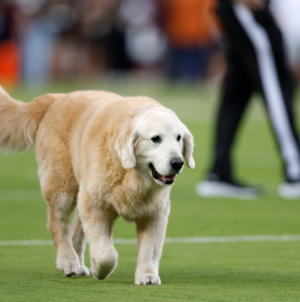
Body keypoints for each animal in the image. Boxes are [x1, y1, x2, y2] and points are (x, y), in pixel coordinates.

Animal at [0, 85, 195, 286]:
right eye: (156, 138)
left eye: (178, 138)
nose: (177, 163)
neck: (131, 173)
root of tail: (57, 97)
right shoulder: (95, 205)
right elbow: (105, 254)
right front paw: (99, 269)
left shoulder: (155, 213)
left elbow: (149, 250)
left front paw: (147, 275)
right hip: (62, 187)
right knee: (58, 225)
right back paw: (68, 262)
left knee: (75, 232)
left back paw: (78, 265)